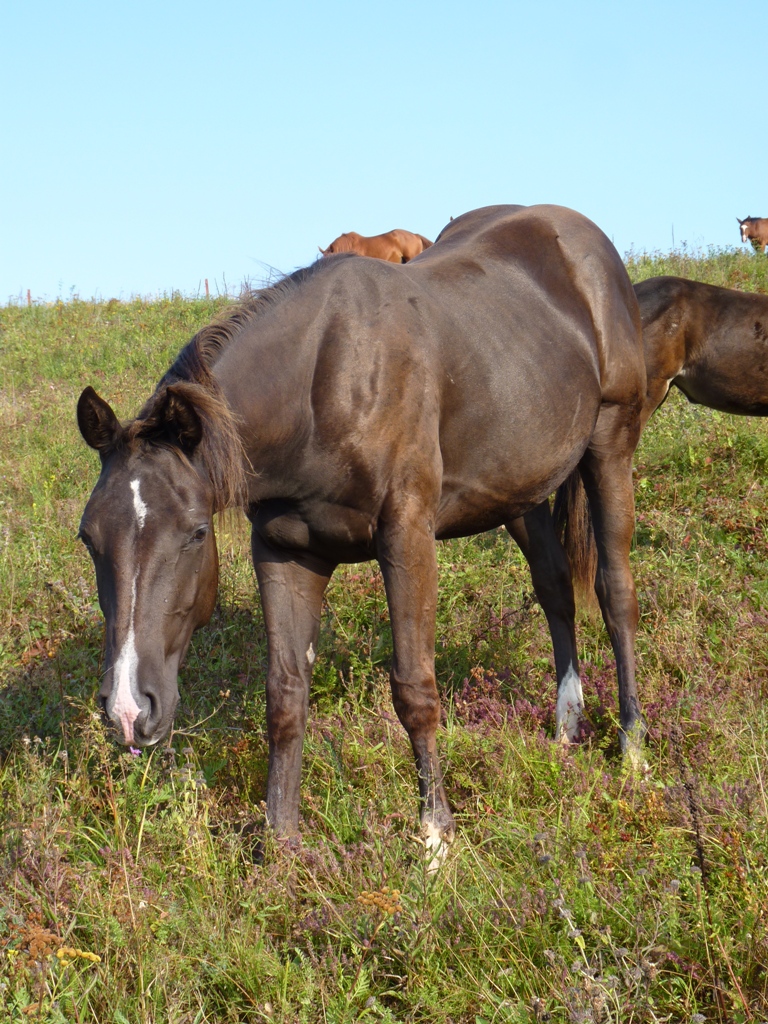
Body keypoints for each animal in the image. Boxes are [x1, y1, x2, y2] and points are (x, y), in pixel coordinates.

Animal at [78, 205, 647, 856]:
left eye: (196, 533)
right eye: (89, 538)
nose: (127, 711)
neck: (322, 388)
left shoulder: (407, 539)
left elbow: (414, 690)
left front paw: (436, 839)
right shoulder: (284, 552)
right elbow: (286, 693)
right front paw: (281, 839)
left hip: (609, 448)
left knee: (616, 593)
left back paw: (633, 747)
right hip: (519, 490)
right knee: (555, 588)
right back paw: (566, 725)